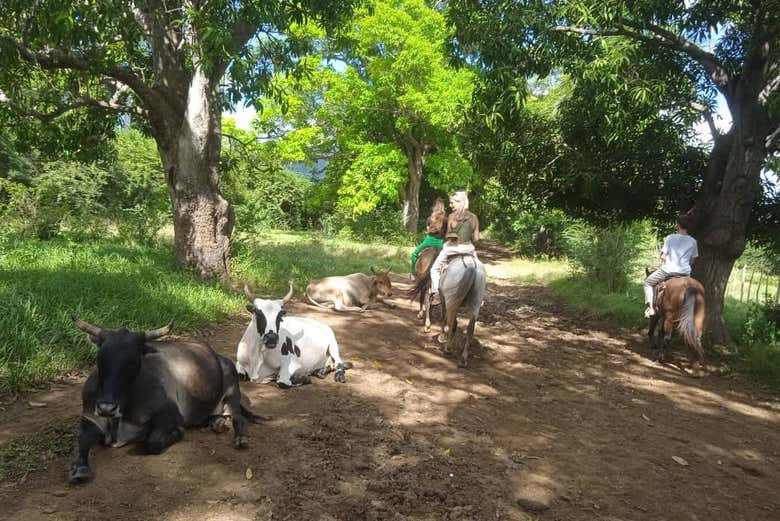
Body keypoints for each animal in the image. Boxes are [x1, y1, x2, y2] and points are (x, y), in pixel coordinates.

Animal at [67, 314, 262, 486]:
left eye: (133, 361)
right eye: (100, 358)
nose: (107, 408)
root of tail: (218, 356)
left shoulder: (170, 415)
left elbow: (152, 443)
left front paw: (177, 433)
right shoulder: (89, 417)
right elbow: (82, 440)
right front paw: (80, 468)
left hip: (232, 391)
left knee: (238, 417)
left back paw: (240, 438)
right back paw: (217, 423)